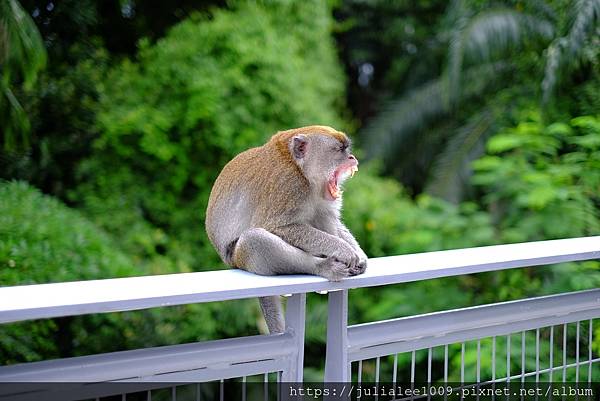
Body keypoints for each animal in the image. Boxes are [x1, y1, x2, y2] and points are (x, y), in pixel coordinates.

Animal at [205, 125, 366, 332]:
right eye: (340, 149)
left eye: (347, 148)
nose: (352, 157)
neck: (300, 169)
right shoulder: (289, 186)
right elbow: (277, 226)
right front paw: (344, 250)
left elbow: (330, 218)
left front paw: (360, 256)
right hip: (238, 257)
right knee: (253, 239)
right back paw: (323, 266)